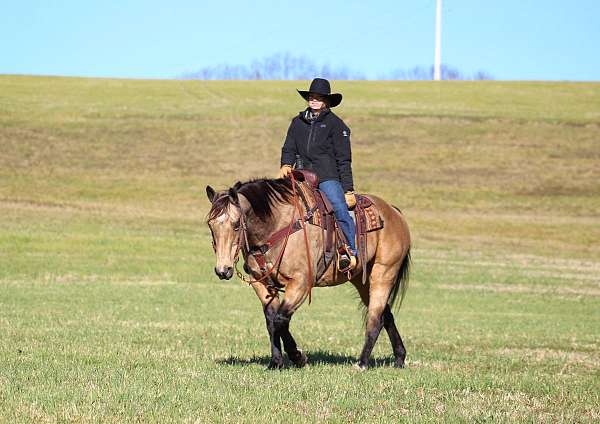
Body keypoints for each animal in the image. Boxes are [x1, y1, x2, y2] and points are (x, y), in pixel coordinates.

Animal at [204, 172, 410, 372]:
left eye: (236, 224)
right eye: (210, 225)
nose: (223, 269)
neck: (278, 226)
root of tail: (394, 212)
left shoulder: (300, 283)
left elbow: (280, 319)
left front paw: (298, 357)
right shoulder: (262, 283)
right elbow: (271, 320)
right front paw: (276, 362)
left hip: (383, 274)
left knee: (375, 318)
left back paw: (362, 363)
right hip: (362, 280)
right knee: (385, 315)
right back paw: (399, 358)